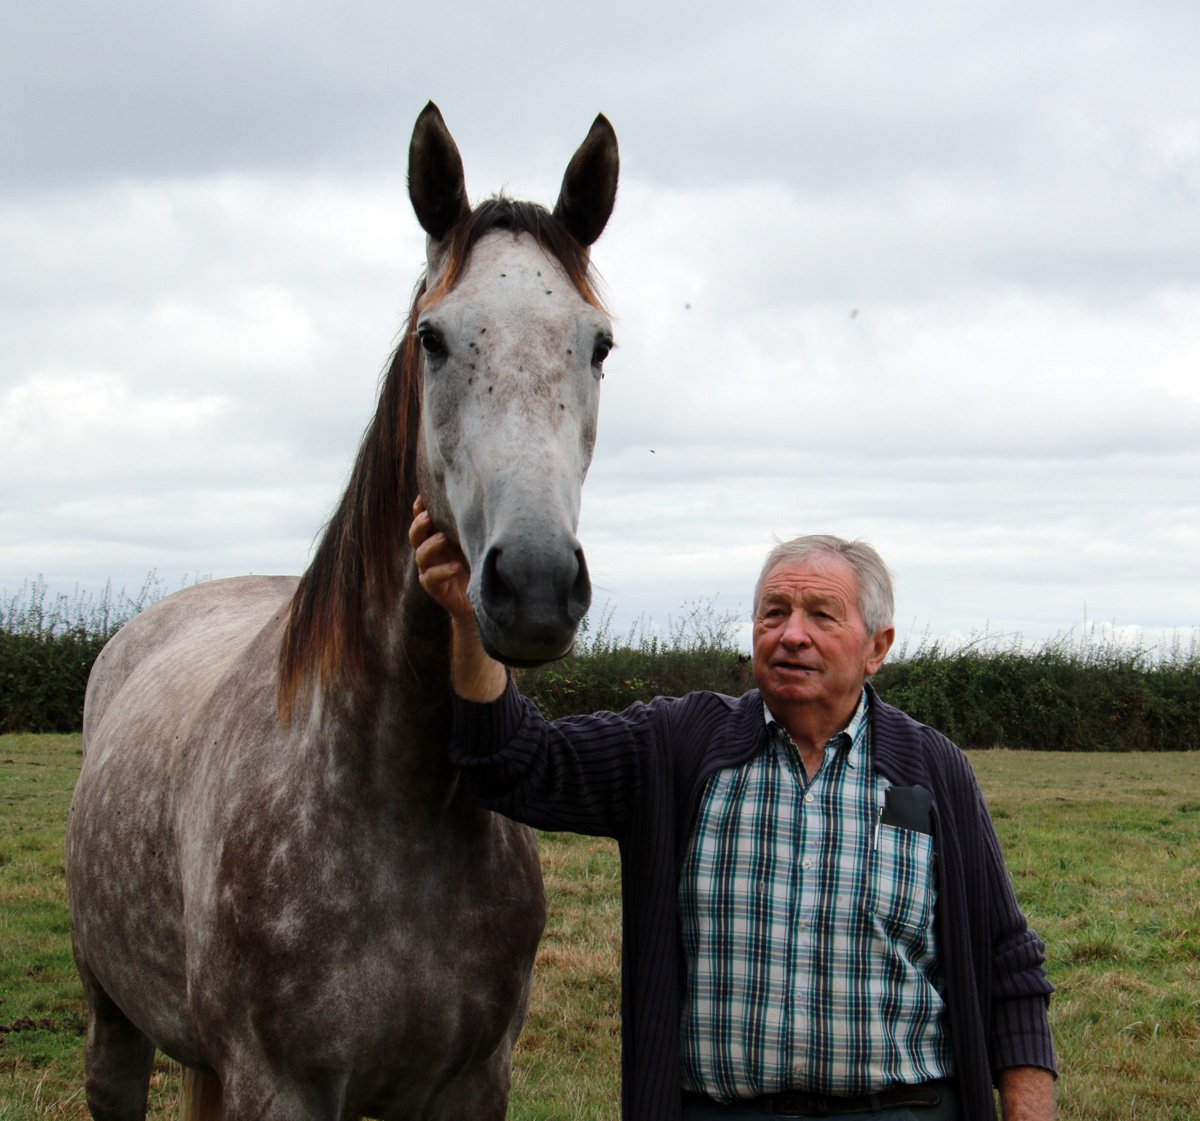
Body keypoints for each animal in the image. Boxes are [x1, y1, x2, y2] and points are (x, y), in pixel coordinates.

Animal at [65, 101, 619, 1121]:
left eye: (596, 344)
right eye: (432, 337)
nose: (531, 582)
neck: (401, 801)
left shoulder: (472, 1085)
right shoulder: (278, 1086)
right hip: (111, 1019)